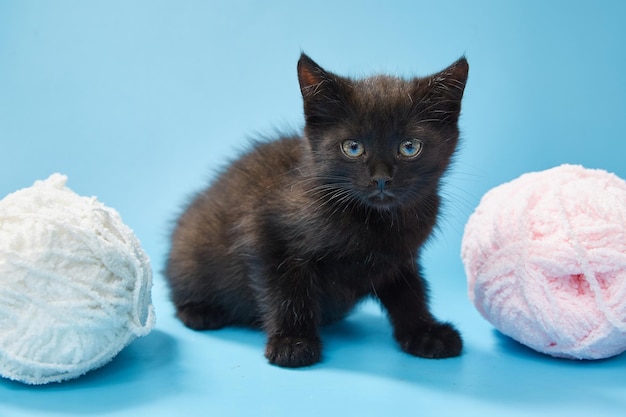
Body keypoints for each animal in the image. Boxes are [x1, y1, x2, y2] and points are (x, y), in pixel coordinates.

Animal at [166, 52, 468, 368]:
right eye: (353, 148)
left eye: (409, 147)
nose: (381, 178)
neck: (373, 220)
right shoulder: (266, 234)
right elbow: (288, 292)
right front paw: (292, 343)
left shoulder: (400, 256)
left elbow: (411, 292)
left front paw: (425, 332)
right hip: (191, 248)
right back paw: (201, 311)